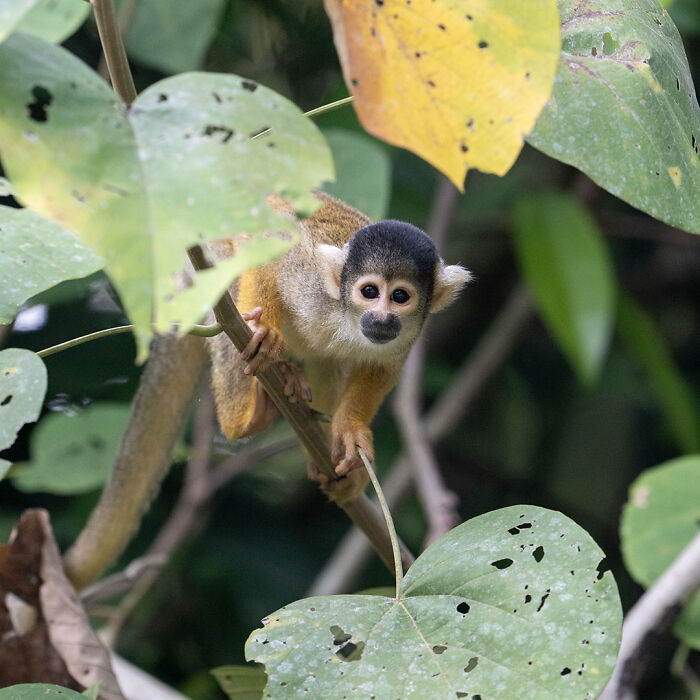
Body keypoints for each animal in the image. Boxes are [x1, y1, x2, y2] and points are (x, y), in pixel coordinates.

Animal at [208, 191, 471, 503]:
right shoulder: (308, 280)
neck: (346, 317)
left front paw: (349, 427)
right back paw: (244, 418)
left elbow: (381, 366)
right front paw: (266, 331)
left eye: (400, 296)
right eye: (369, 291)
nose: (381, 318)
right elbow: (272, 250)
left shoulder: (408, 334)